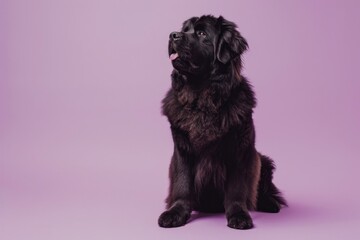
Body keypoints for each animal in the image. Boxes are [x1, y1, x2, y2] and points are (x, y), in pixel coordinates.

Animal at [158, 15, 286, 231]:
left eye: (201, 33)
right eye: (184, 29)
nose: (172, 34)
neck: (202, 98)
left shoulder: (239, 151)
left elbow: (236, 189)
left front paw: (238, 215)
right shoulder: (182, 149)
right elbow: (182, 183)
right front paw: (176, 213)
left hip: (262, 160)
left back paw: (270, 203)